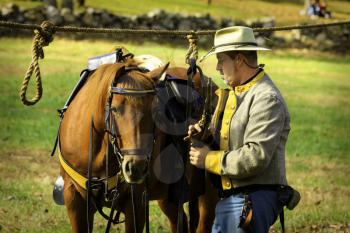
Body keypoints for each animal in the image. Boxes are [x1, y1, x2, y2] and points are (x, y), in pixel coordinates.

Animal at [58, 57, 219, 233]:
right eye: (114, 109)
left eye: (155, 111)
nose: (136, 167)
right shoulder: (74, 199)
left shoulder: (137, 203)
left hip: (208, 195)